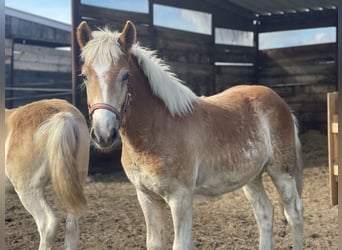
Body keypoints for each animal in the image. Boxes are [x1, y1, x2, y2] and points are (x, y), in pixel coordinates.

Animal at [77, 21, 302, 250]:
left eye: (125, 75)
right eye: (85, 76)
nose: (104, 134)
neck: (157, 131)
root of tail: (280, 101)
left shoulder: (180, 198)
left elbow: (181, 244)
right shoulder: (146, 197)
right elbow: (154, 243)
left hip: (281, 172)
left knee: (294, 214)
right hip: (252, 177)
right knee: (264, 213)